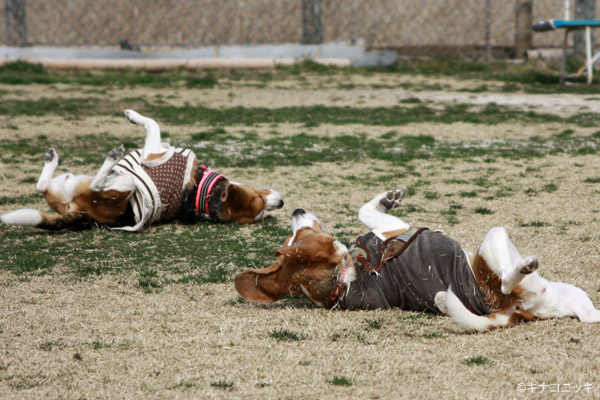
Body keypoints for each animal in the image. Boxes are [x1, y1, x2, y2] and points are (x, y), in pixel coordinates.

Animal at [0, 110, 284, 231]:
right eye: (260, 198)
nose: (281, 203)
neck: (199, 192)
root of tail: (83, 214)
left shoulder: (151, 151)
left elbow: (153, 123)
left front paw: (132, 115)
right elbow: (153, 123)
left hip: (124, 185)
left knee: (93, 184)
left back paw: (111, 158)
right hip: (64, 185)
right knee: (42, 186)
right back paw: (53, 159)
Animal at [236, 189, 600, 332]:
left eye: (296, 235)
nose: (296, 210)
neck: (343, 282)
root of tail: (507, 309)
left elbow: (366, 210)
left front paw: (386, 198)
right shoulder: (390, 230)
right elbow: (366, 212)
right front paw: (386, 200)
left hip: (574, 297)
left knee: (589, 317)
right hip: (496, 238)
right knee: (511, 277)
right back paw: (522, 267)